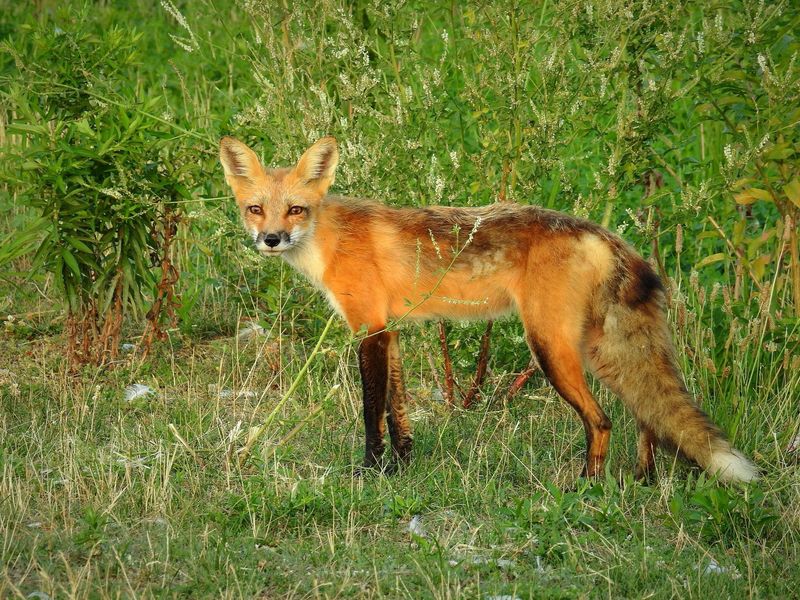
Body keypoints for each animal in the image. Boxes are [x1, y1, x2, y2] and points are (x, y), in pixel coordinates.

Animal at [219, 135, 758, 483]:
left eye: (295, 209)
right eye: (255, 209)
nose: (271, 239)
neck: (329, 239)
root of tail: (601, 234)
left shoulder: (368, 329)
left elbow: (372, 412)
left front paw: (369, 473)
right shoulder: (390, 331)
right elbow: (398, 411)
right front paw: (402, 467)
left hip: (550, 348)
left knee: (602, 420)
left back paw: (586, 487)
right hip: (600, 351)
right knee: (647, 419)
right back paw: (643, 479)